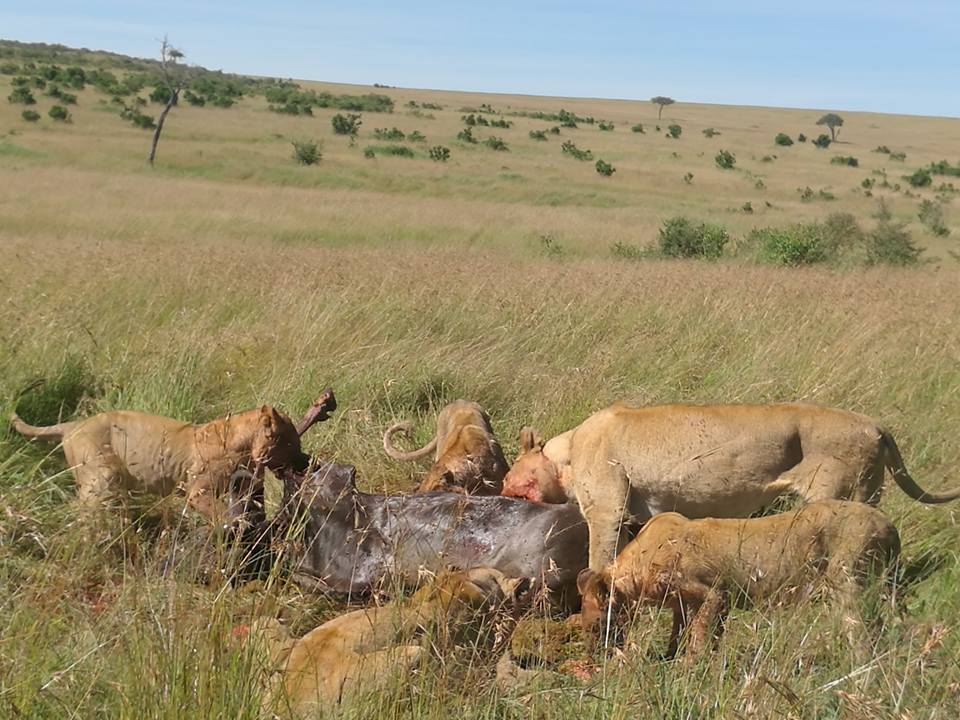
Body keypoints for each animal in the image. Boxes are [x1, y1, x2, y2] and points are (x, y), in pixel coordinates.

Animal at [8, 396, 334, 524]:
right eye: (292, 443)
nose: (309, 462)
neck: (243, 445)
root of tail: (72, 425)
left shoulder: (246, 488)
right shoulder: (197, 492)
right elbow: (221, 514)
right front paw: (234, 525)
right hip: (101, 477)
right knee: (81, 510)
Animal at [502, 402, 960, 572]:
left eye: (510, 479)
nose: (502, 493)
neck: (567, 452)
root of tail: (875, 425)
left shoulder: (607, 509)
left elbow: (598, 560)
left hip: (841, 495)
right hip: (869, 492)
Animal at [576, 500, 900, 660]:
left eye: (596, 624)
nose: (596, 656)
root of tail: (888, 523)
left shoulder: (714, 594)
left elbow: (699, 638)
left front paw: (691, 668)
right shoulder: (686, 603)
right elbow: (684, 633)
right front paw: (669, 660)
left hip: (845, 579)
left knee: (863, 631)